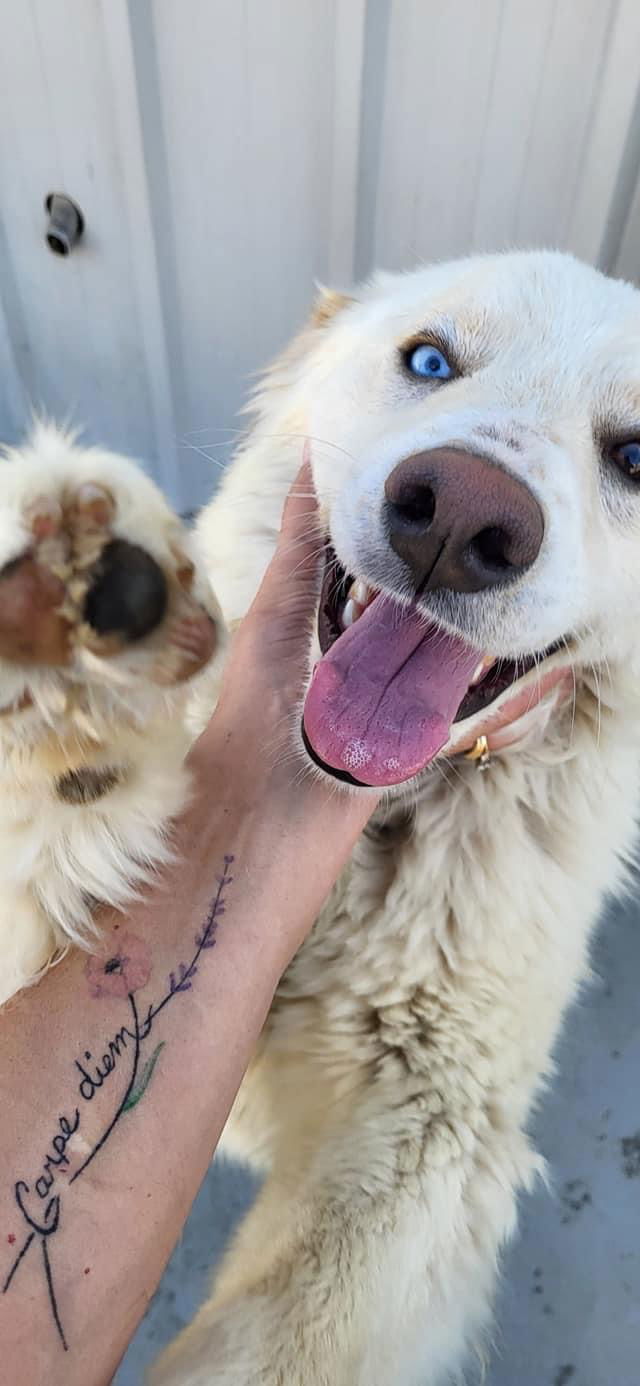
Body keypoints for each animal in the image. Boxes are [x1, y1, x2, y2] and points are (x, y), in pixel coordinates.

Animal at [1, 252, 640, 1386]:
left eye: (638, 456)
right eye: (430, 361)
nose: (458, 517)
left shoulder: (427, 1139)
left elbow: (265, 1350)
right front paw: (73, 664)